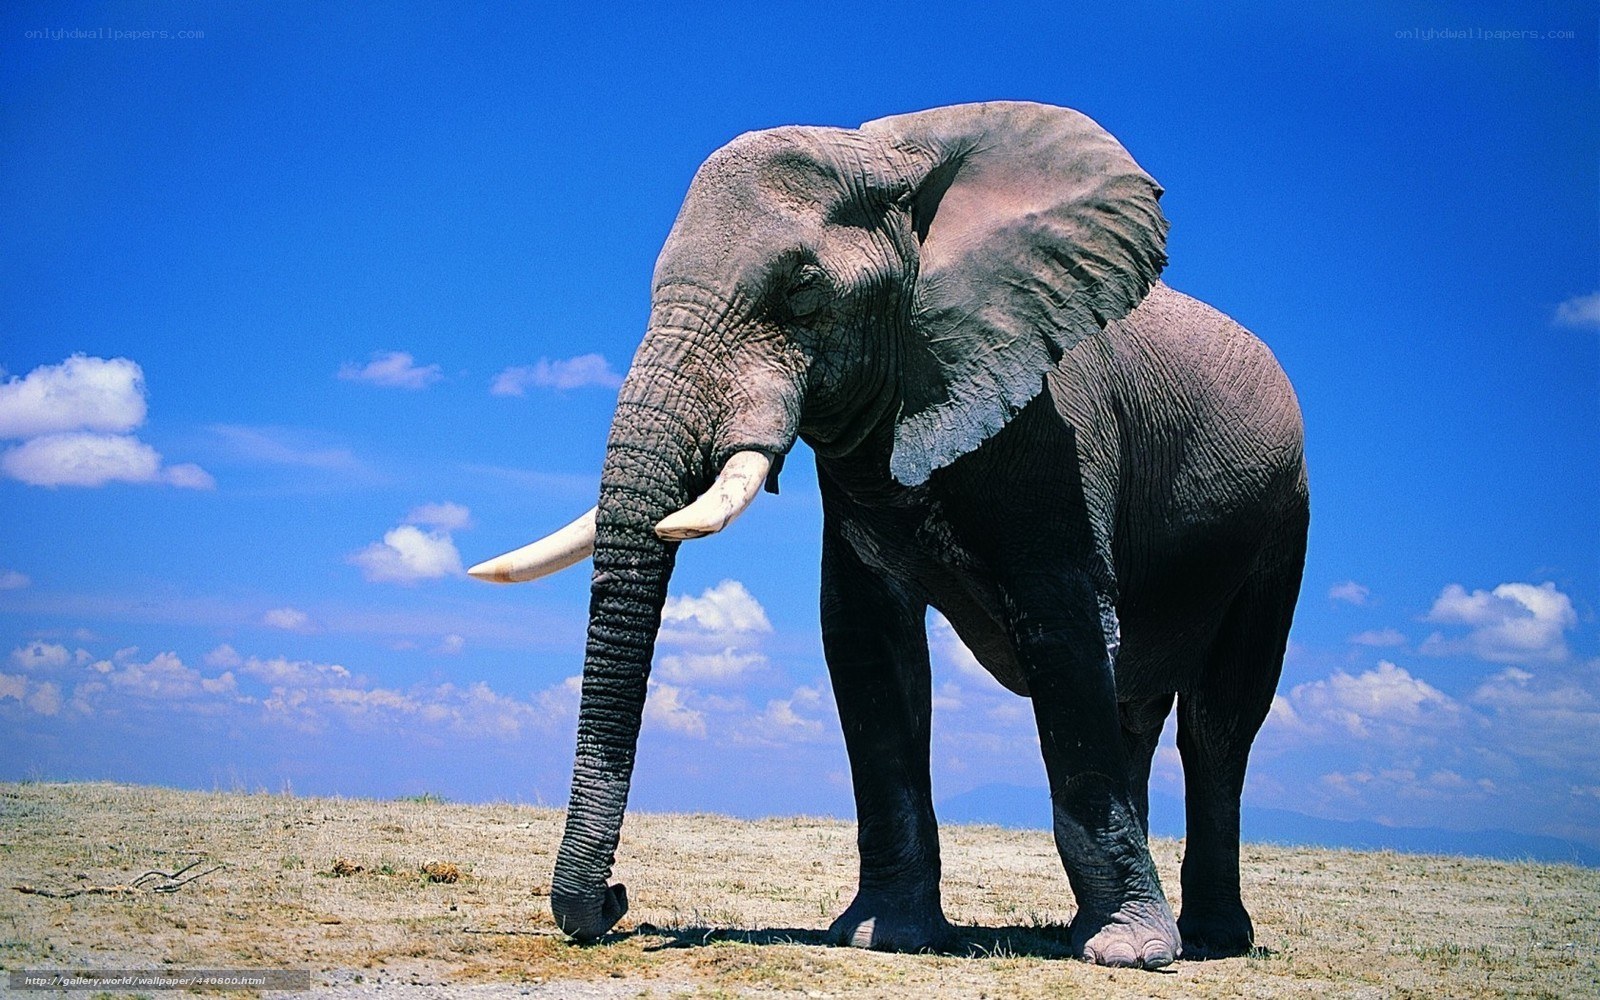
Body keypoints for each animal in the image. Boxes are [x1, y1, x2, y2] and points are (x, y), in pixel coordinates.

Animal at [470, 101, 1308, 969]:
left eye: (803, 294)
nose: (615, 899)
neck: (894, 157)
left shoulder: (1061, 433)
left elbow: (1065, 636)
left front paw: (1129, 957)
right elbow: (868, 646)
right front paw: (887, 937)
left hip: (1282, 521)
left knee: (1219, 723)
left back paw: (1204, 939)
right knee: (1138, 711)